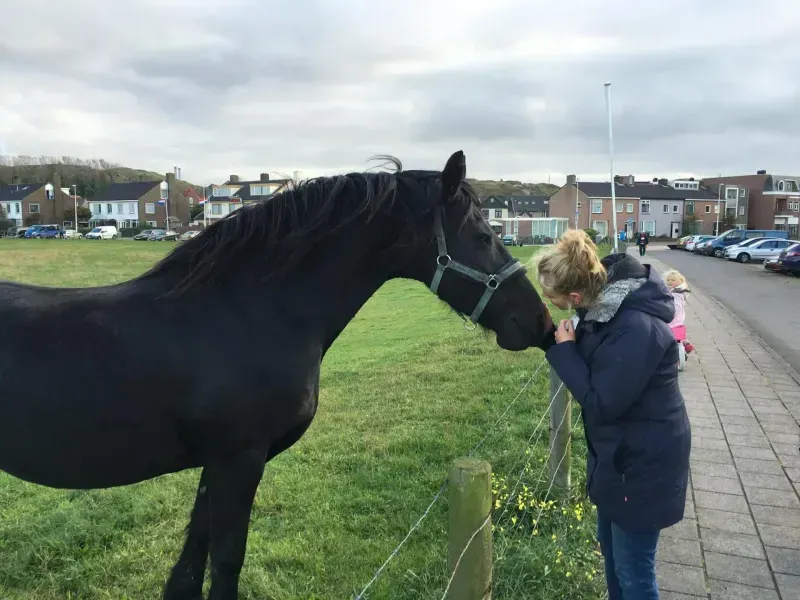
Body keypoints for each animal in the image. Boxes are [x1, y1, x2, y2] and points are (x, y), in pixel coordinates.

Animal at [0, 151, 555, 599]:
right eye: (482, 236)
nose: (540, 322)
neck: (249, 312)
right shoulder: (240, 460)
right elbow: (226, 563)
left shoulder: (217, 465)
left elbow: (190, 567)